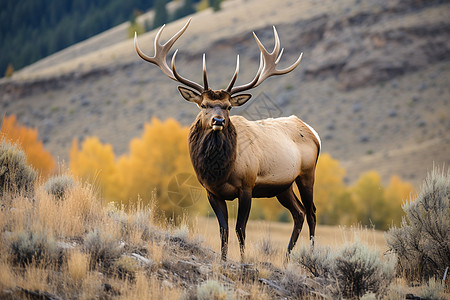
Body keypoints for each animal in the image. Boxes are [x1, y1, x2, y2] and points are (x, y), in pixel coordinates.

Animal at [134, 18, 320, 262]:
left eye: (228, 106)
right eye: (203, 105)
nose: (219, 120)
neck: (219, 171)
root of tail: (312, 131)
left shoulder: (247, 185)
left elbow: (240, 228)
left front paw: (242, 260)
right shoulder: (211, 191)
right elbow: (223, 229)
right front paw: (222, 260)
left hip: (307, 173)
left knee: (312, 212)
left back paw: (311, 255)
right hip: (283, 185)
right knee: (298, 213)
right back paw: (287, 258)